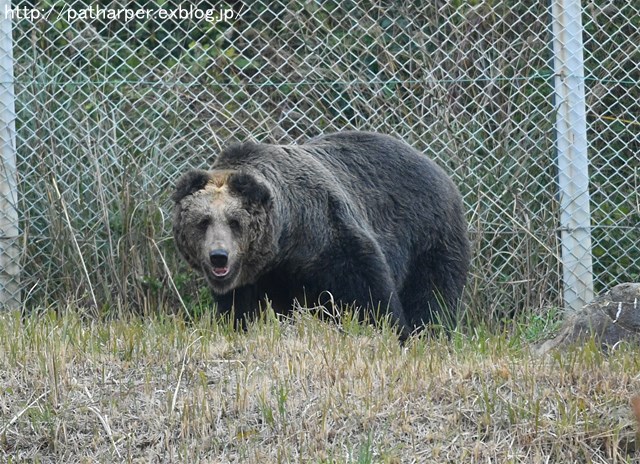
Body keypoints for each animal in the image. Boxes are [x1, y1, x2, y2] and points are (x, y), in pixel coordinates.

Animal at [170, 130, 470, 338]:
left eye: (234, 221)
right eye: (203, 221)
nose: (218, 256)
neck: (287, 240)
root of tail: (440, 170)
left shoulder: (329, 237)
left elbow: (368, 294)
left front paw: (395, 331)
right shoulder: (256, 278)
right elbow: (240, 310)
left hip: (428, 235)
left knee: (432, 293)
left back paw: (431, 331)